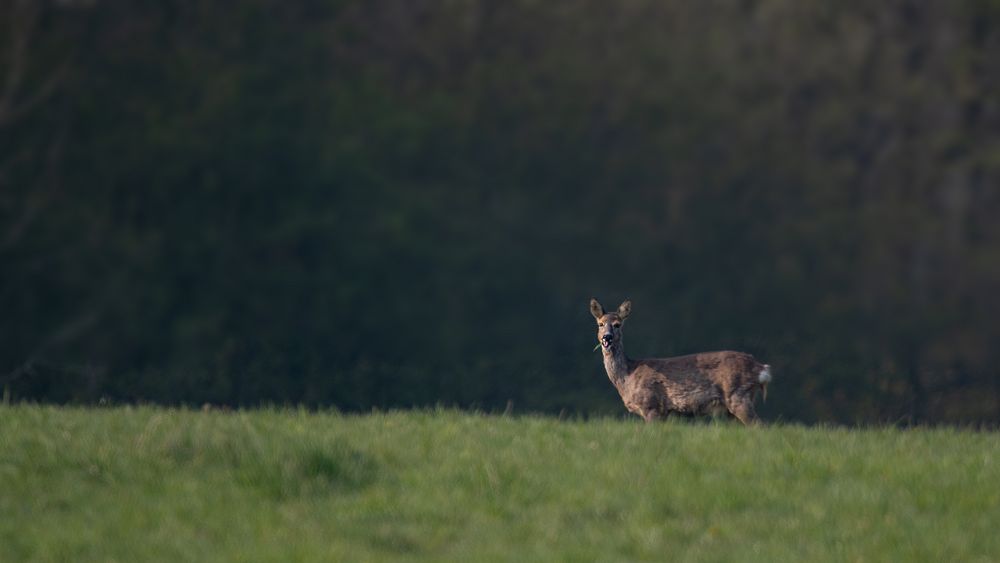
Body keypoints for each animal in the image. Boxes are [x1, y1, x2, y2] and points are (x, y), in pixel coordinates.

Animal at [584, 298, 772, 426]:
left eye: (618, 324)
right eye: (600, 324)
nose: (607, 338)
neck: (628, 376)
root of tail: (760, 368)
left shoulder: (651, 405)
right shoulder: (663, 413)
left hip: (738, 395)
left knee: (759, 426)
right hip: (734, 406)